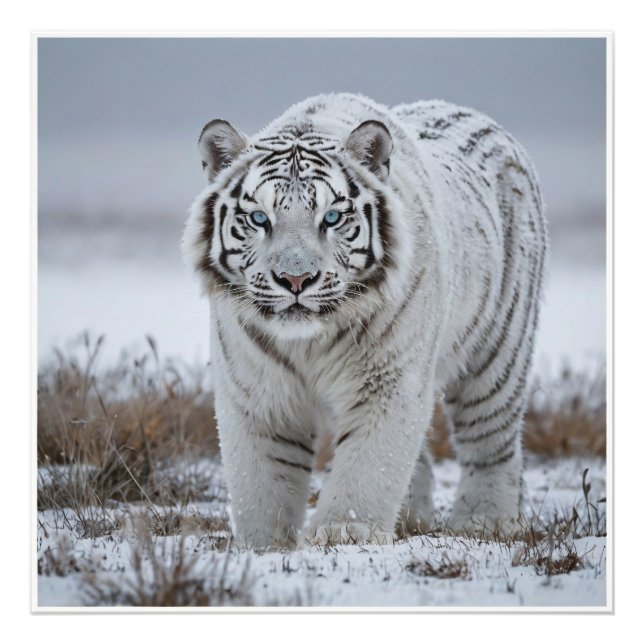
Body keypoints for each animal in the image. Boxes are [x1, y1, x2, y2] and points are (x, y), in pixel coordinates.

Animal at [182, 92, 547, 549]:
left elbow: (371, 461)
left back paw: (485, 521)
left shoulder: (388, 378)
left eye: (332, 218)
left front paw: (345, 531)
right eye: (260, 219)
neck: (309, 342)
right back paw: (413, 519)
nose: (295, 279)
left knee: (491, 437)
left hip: (499, 351)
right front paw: (264, 544)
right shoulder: (256, 388)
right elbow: (262, 475)